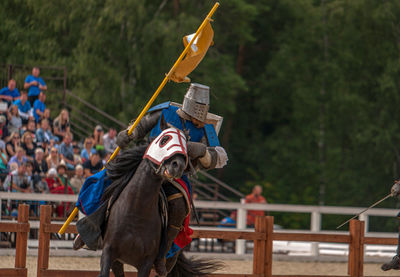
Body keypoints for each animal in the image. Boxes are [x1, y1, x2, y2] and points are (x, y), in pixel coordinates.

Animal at [97, 121, 222, 276]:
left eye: (186, 146)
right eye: (164, 140)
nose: (178, 166)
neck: (135, 212)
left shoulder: (146, 263)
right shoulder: (109, 253)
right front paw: (124, 138)